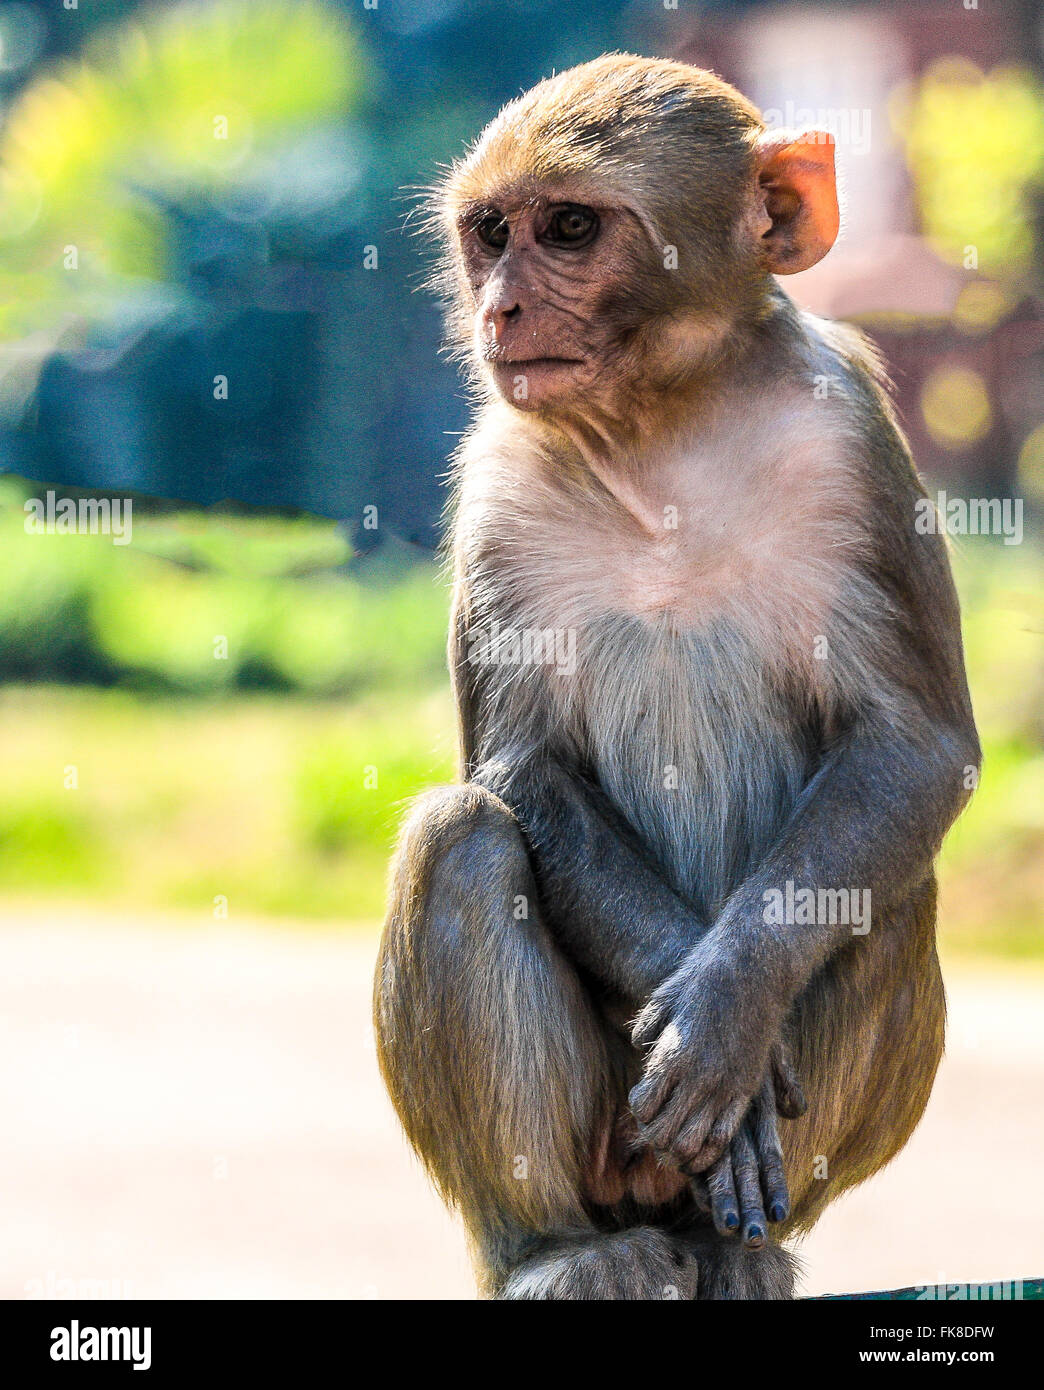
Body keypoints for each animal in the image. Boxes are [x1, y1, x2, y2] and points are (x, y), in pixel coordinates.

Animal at [372, 48, 978, 1295]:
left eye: (568, 228)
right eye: (491, 233)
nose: (501, 308)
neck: (661, 425)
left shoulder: (856, 438)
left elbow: (915, 746)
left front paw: (728, 1001)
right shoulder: (499, 478)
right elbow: (521, 765)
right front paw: (698, 1011)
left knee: (890, 887)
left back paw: (732, 1246)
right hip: (604, 1148)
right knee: (459, 840)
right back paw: (560, 1247)